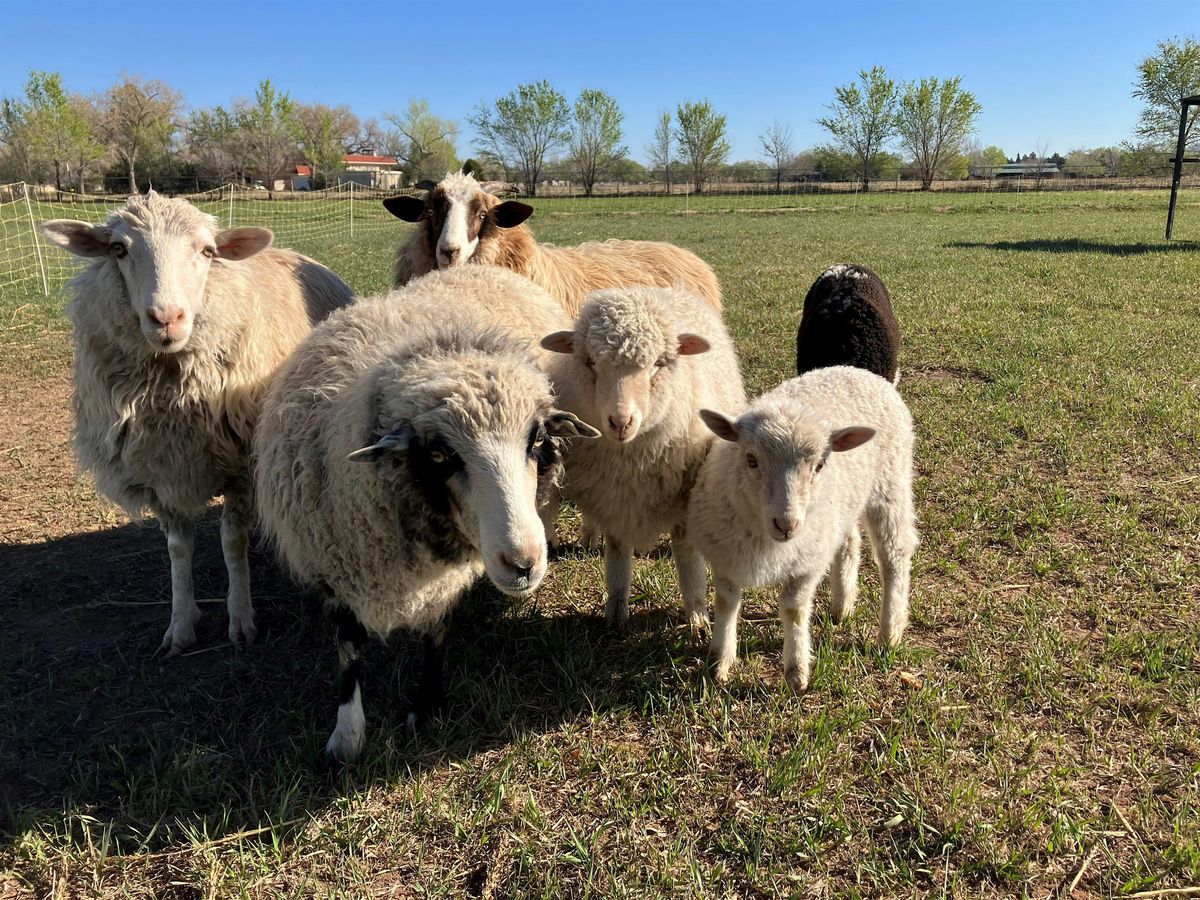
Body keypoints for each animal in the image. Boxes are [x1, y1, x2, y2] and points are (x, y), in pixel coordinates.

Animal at [38, 190, 355, 657]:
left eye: (207, 251)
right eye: (118, 249)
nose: (166, 319)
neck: (173, 395)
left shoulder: (242, 468)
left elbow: (232, 542)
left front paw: (241, 618)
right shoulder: (158, 470)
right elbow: (177, 549)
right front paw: (181, 623)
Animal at [258, 267, 604, 768]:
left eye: (537, 440)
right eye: (439, 455)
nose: (523, 564)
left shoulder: (442, 580)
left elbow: (437, 632)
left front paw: (426, 706)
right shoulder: (332, 564)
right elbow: (347, 652)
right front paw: (346, 735)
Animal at [542, 285, 744, 628]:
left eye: (658, 363)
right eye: (590, 361)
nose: (620, 422)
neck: (633, 460)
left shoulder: (685, 496)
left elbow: (687, 556)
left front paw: (697, 617)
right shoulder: (612, 496)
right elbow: (617, 551)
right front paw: (616, 612)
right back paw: (589, 537)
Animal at [686, 364, 916, 691]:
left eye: (820, 465)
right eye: (751, 459)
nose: (787, 524)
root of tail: (856, 370)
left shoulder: (807, 562)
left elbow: (793, 609)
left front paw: (796, 671)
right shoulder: (725, 556)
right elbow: (726, 602)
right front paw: (720, 662)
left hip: (891, 485)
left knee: (894, 556)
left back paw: (890, 632)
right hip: (842, 508)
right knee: (848, 543)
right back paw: (842, 606)